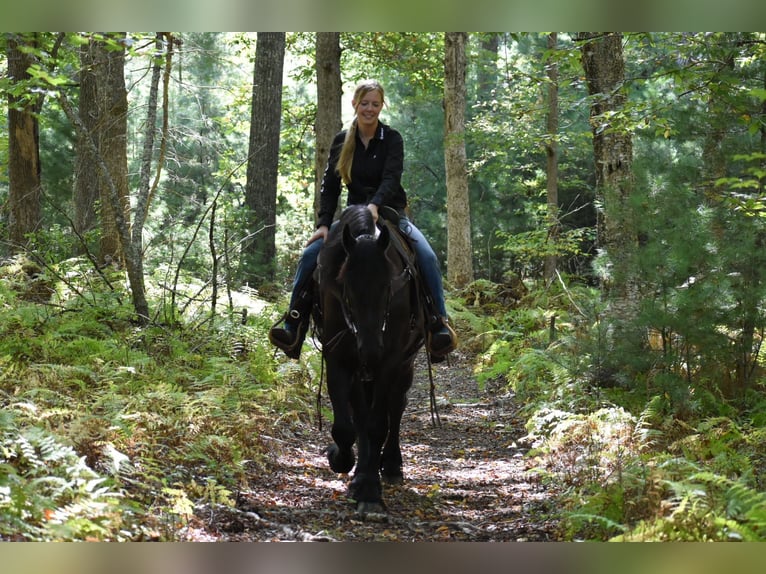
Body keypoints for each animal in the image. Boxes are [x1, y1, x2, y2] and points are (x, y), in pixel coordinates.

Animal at [314, 204, 425, 515]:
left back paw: (391, 465)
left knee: (396, 407)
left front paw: (369, 491)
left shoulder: (390, 362)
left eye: (388, 287)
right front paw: (344, 462)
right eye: (346, 289)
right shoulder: (339, 358)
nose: (372, 350)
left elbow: (376, 425)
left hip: (405, 365)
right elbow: (348, 426)